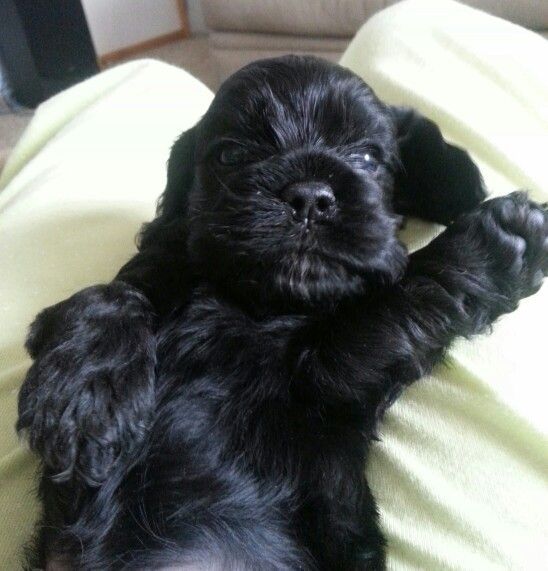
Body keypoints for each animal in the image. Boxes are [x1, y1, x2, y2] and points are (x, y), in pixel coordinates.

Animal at [18, 54, 548, 571]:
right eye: (231, 155)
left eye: (366, 157)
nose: (309, 197)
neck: (259, 299)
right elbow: (108, 295)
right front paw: (85, 404)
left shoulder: (326, 378)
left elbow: (395, 297)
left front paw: (490, 243)